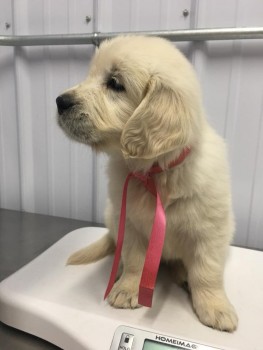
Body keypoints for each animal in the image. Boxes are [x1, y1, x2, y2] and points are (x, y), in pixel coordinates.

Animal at [57, 36, 239, 334]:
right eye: (90, 75)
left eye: (115, 83)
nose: (60, 101)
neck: (154, 173)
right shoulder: (130, 224)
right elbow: (134, 260)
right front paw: (127, 288)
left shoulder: (210, 232)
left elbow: (207, 271)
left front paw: (215, 307)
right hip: (113, 218)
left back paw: (183, 275)